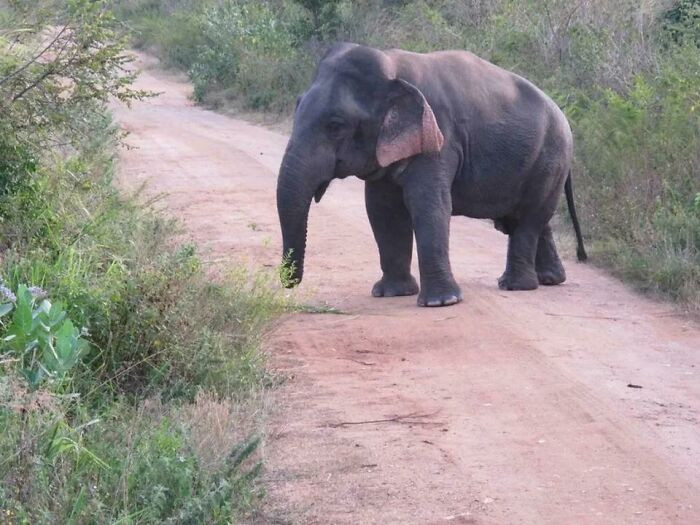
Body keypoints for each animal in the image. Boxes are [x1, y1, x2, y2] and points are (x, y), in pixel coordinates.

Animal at [276, 42, 587, 307]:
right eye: (297, 105)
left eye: (335, 125)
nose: (290, 283)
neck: (391, 66)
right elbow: (382, 210)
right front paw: (391, 294)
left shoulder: (439, 137)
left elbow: (427, 203)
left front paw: (442, 302)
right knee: (530, 219)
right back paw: (550, 279)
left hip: (551, 158)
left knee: (528, 218)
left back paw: (515, 286)